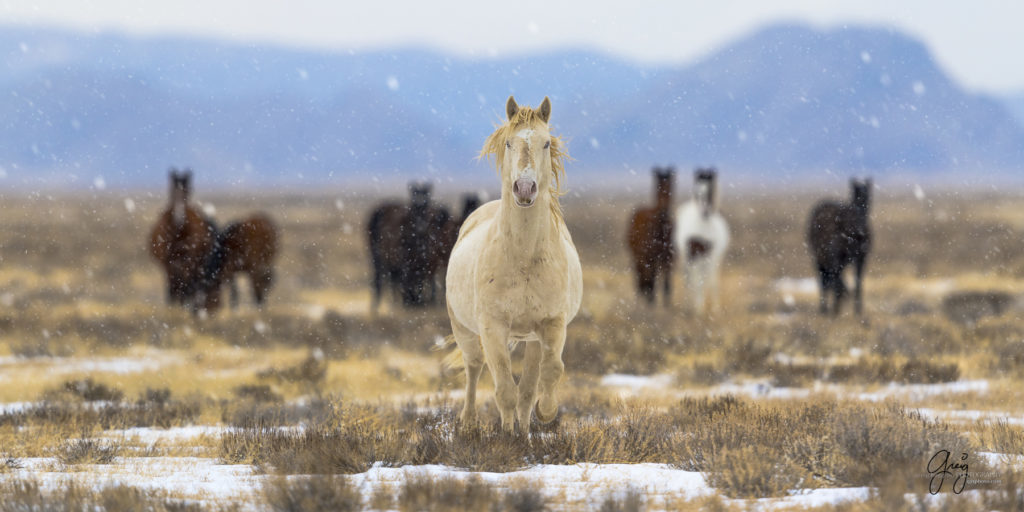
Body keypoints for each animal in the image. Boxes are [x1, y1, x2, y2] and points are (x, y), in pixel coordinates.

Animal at [148, 169, 216, 307]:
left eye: (187, 192)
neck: (178, 234)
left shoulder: (188, 261)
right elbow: (172, 286)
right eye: (172, 192)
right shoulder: (168, 263)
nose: (179, 217)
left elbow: (184, 285)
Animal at [444, 96, 581, 432]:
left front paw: (544, 413)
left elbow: (549, 373)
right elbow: (504, 390)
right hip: (465, 330)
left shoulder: (552, 324)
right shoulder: (493, 327)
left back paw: (525, 430)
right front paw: (507, 437)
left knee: (528, 387)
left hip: (530, 339)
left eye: (546, 143)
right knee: (474, 369)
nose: (524, 189)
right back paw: (469, 423)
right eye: (508, 142)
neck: (524, 258)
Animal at [626, 166, 675, 303]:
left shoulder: (668, 258)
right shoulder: (649, 258)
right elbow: (651, 279)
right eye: (657, 189)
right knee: (641, 276)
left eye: (670, 188)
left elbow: (667, 282)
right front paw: (650, 301)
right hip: (638, 257)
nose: (663, 211)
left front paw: (666, 303)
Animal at [675, 168, 733, 311]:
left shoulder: (712, 254)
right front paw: (697, 308)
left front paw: (713, 309)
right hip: (688, 256)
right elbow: (696, 280)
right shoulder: (693, 252)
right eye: (697, 192)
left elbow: (709, 281)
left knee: (709, 278)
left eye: (711, 190)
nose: (704, 213)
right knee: (689, 278)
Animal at [806, 179, 872, 315]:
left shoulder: (861, 259)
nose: (861, 230)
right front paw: (836, 310)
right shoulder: (835, 258)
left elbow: (858, 284)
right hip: (820, 259)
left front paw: (857, 312)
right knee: (824, 282)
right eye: (855, 197)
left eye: (868, 198)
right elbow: (836, 282)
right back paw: (826, 309)